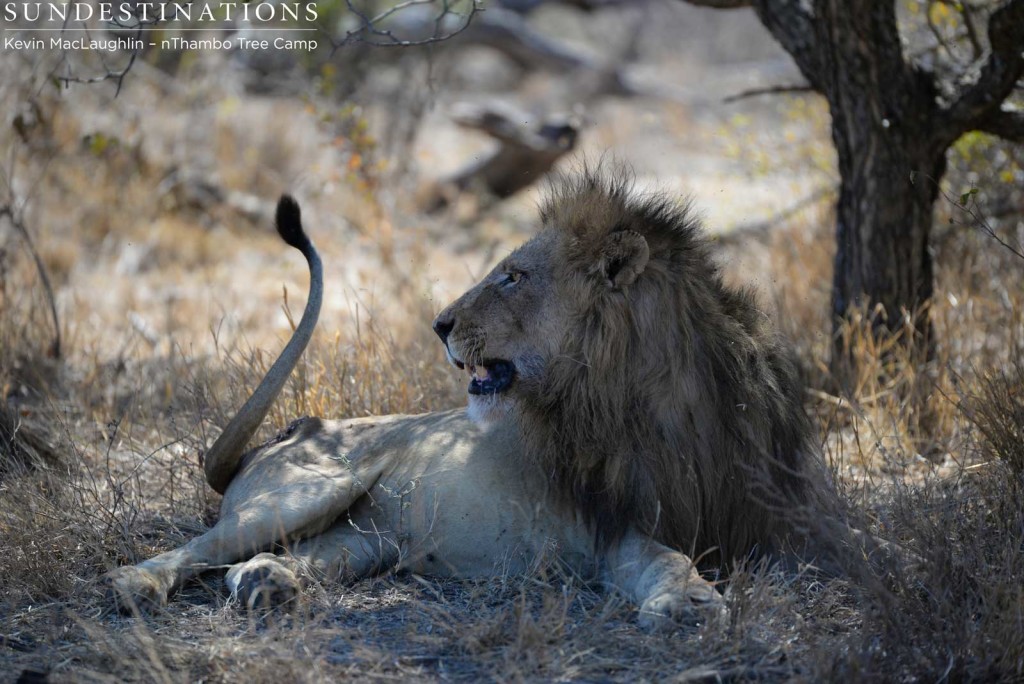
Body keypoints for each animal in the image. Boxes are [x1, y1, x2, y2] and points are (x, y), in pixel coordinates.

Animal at [108, 172, 851, 630]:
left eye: (513, 276)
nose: (438, 324)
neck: (656, 399)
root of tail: (297, 426)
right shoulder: (609, 529)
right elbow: (669, 556)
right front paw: (692, 600)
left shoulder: (770, 516)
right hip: (310, 488)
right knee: (192, 550)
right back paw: (140, 588)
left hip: (366, 540)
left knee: (268, 562)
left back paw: (269, 586)